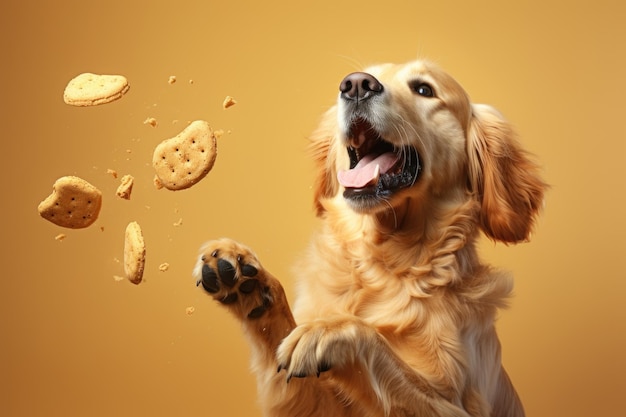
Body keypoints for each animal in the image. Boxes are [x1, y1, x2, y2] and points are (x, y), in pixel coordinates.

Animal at [193, 59, 544, 416]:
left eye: (424, 89)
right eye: (362, 75)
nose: (356, 85)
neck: (385, 259)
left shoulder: (459, 405)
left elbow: (376, 343)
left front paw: (326, 331)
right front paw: (247, 279)